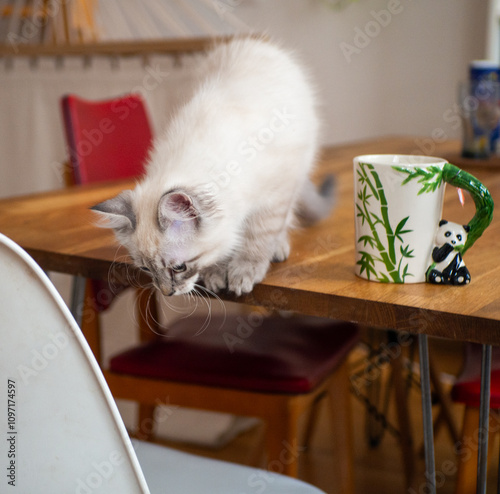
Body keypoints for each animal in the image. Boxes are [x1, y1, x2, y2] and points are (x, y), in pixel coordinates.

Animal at [92, 37, 334, 298]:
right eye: (146, 269)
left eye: (179, 267)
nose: (167, 293)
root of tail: (254, 43)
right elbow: (221, 246)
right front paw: (216, 274)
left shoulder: (275, 194)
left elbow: (257, 239)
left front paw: (244, 273)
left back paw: (278, 248)